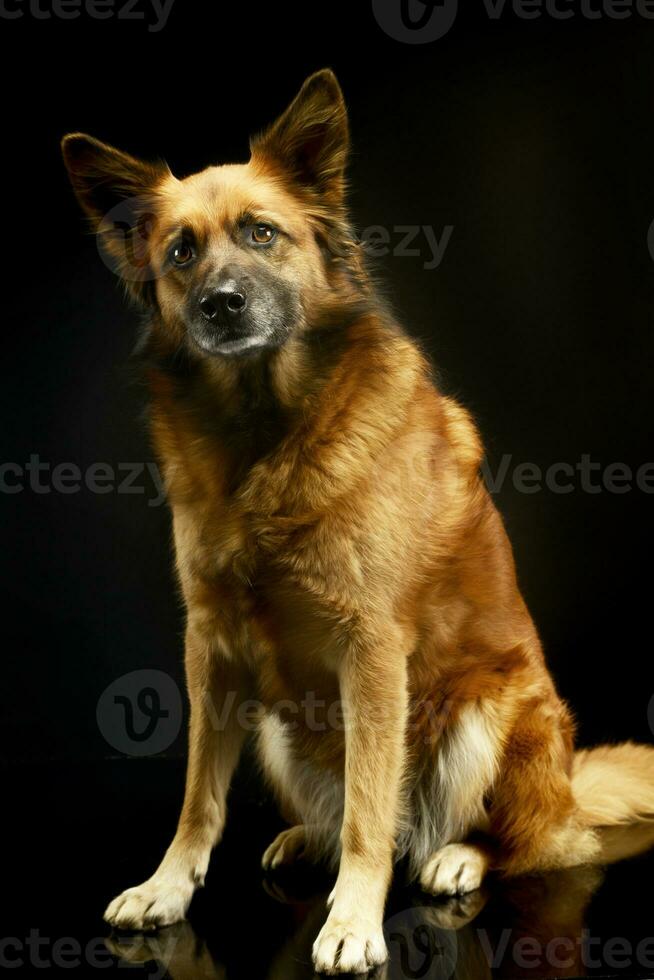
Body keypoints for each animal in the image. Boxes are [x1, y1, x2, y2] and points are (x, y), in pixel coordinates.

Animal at [61, 67, 654, 972]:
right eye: (181, 253)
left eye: (262, 233)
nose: (222, 305)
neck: (266, 434)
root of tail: (569, 786)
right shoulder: (210, 643)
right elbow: (201, 797)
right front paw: (168, 886)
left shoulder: (371, 647)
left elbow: (375, 811)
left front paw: (352, 922)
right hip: (278, 727)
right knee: (350, 811)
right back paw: (309, 839)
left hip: (488, 714)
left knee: (518, 842)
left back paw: (455, 856)